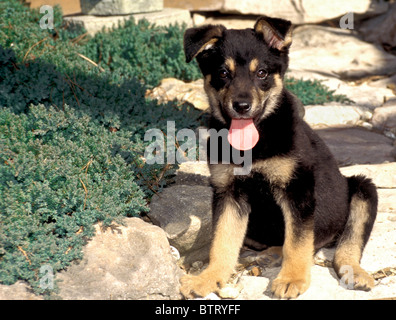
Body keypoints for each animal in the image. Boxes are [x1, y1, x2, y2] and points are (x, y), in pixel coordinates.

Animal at [179, 16, 378, 298]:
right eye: (223, 73)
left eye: (261, 73)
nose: (242, 106)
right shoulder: (229, 194)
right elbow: (222, 242)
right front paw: (208, 278)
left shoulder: (298, 192)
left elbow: (297, 242)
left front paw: (292, 278)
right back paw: (270, 254)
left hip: (363, 188)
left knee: (345, 246)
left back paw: (355, 272)